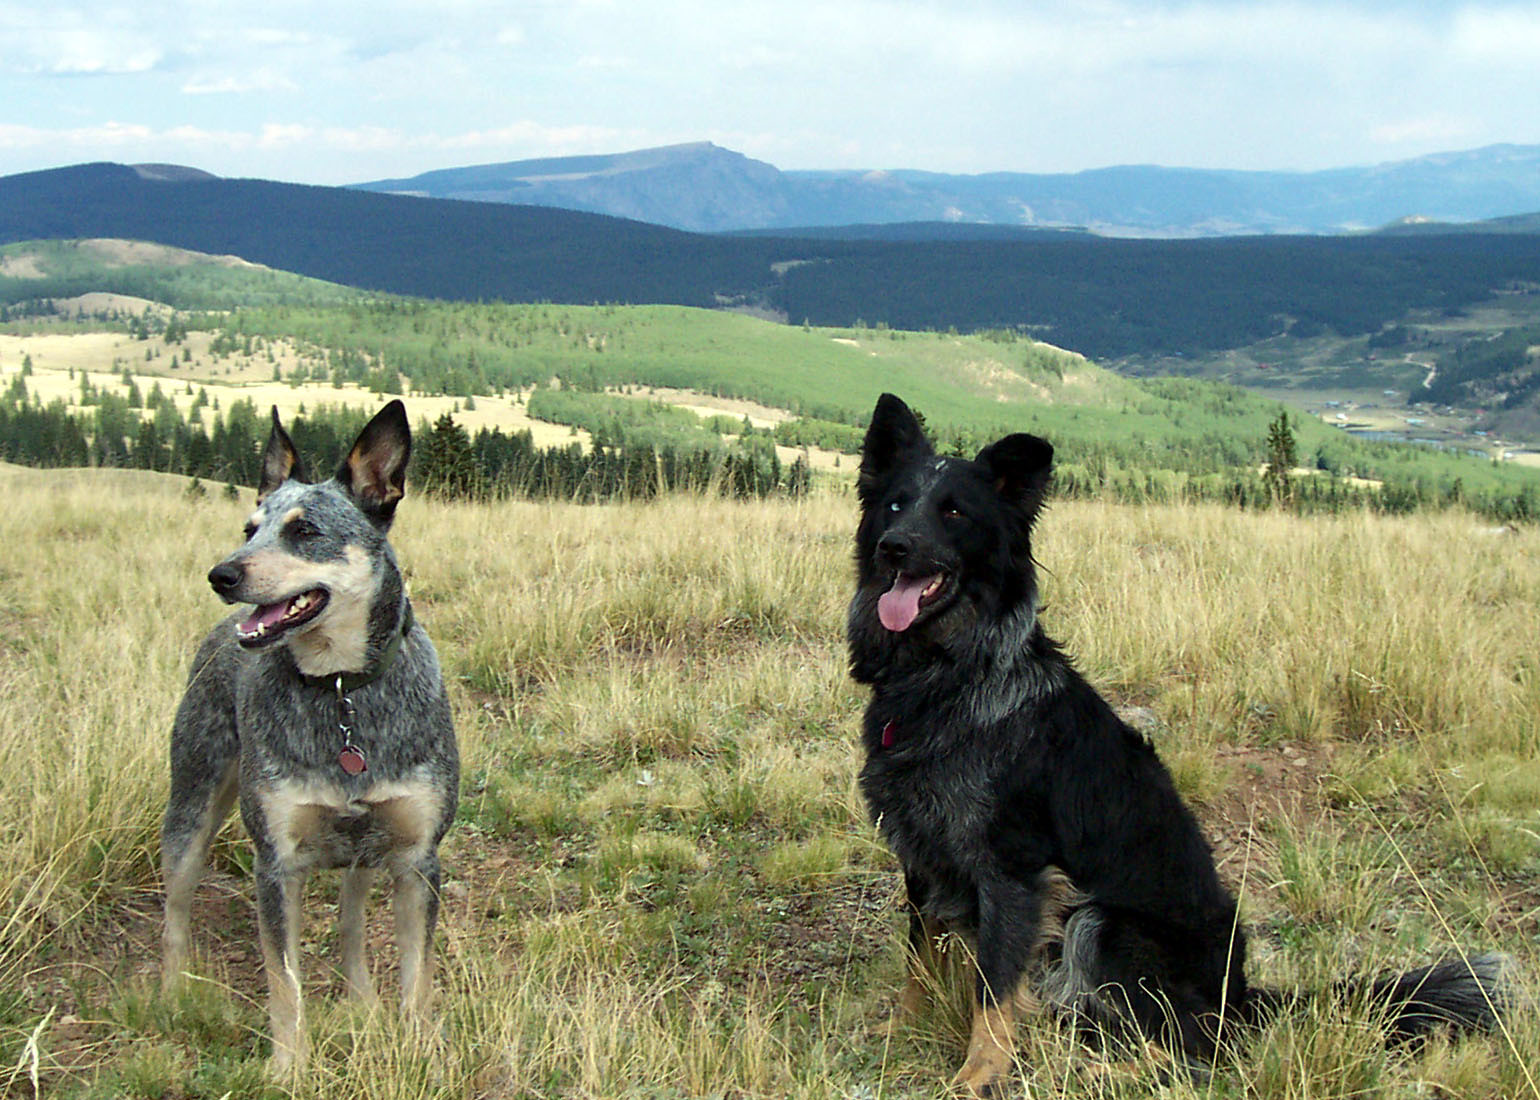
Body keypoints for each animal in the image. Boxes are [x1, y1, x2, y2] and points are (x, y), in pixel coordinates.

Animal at [160, 400, 459, 1074]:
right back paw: (170, 992)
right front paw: (288, 1066)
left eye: (305, 532)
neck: (341, 690)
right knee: (175, 908)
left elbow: (419, 976)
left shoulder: (416, 859)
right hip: (191, 804)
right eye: (250, 528)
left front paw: (421, 1049)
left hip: (366, 850)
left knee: (350, 922)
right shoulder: (276, 866)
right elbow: (283, 980)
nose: (221, 573)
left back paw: (361, 1000)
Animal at [847, 393, 1507, 1094]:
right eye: (896, 504)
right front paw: (903, 1029)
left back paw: (1103, 1067)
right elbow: (919, 958)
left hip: (1102, 923)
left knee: (1197, 1045)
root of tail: (1242, 997)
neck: (948, 675)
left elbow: (993, 991)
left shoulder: (1014, 872)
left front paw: (978, 1074)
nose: (893, 548)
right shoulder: (922, 855)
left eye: (954, 512)